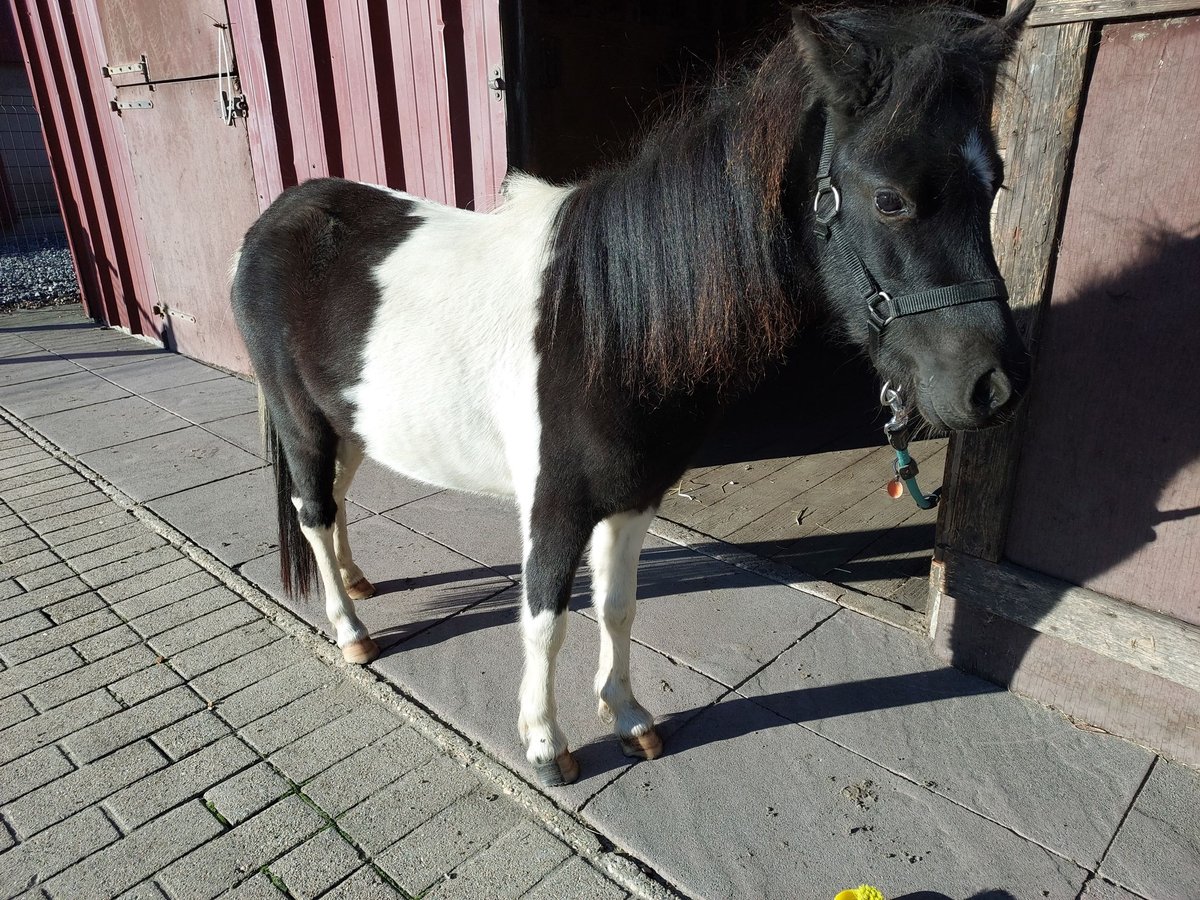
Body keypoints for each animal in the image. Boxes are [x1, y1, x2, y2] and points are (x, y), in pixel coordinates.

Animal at [236, 1, 1041, 787]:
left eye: (995, 182)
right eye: (890, 198)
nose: (994, 388)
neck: (604, 323)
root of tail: (276, 217)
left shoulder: (632, 496)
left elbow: (617, 608)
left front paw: (627, 718)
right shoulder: (554, 505)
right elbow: (545, 617)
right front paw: (545, 745)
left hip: (349, 421)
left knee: (336, 496)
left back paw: (359, 583)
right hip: (301, 420)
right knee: (313, 510)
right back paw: (351, 631)